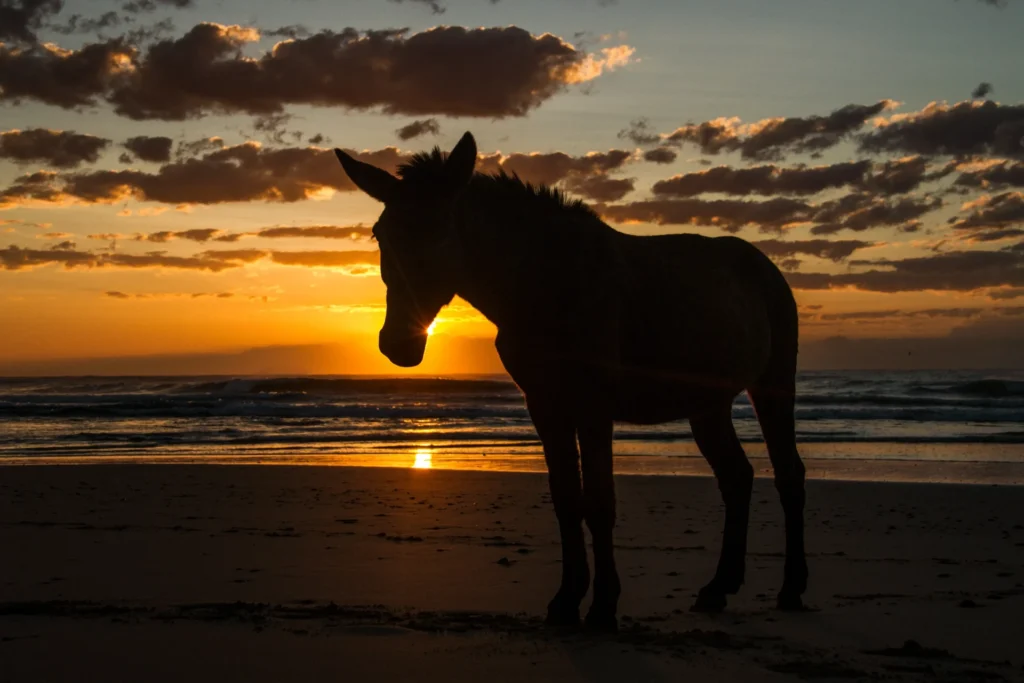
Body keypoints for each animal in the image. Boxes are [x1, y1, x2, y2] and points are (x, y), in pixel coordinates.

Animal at [335, 131, 806, 634]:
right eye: (381, 234)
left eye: (442, 230)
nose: (398, 345)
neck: (545, 285)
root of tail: (764, 265)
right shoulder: (545, 405)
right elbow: (566, 499)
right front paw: (566, 600)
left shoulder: (594, 405)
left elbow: (599, 501)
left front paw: (602, 607)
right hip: (707, 404)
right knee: (737, 477)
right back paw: (719, 587)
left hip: (774, 385)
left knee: (788, 473)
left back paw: (792, 588)